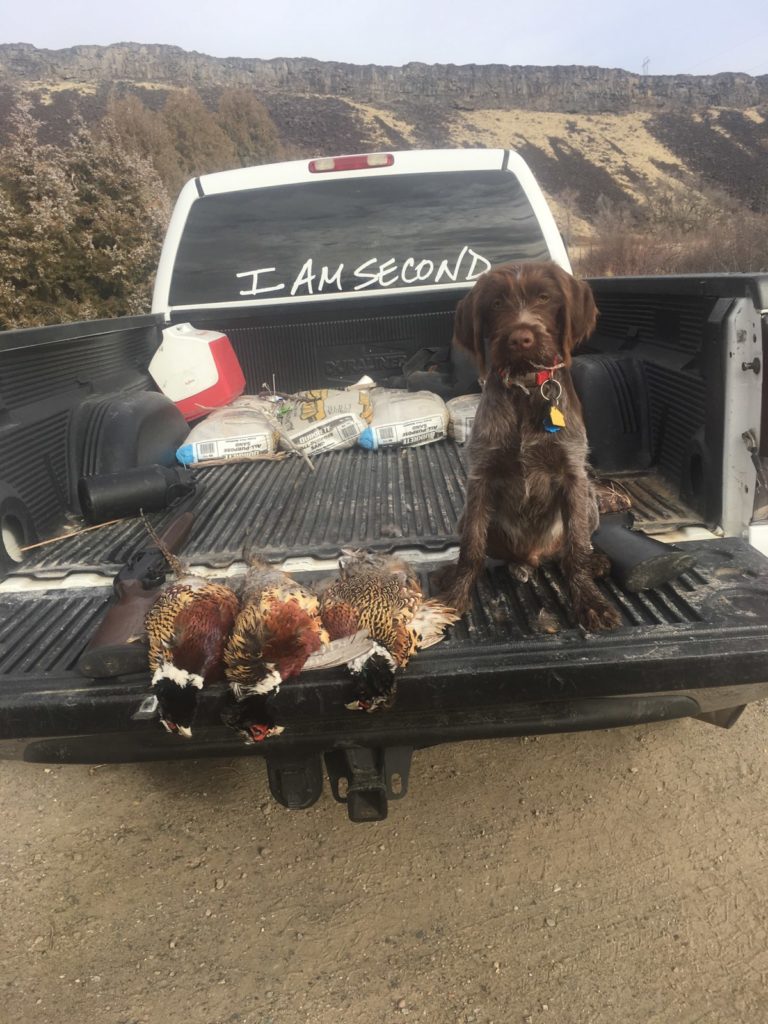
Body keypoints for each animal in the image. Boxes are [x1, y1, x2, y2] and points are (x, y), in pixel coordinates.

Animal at [442, 262, 622, 630]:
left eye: (544, 297)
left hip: (589, 502)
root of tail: (533, 555)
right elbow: (471, 550)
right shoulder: (481, 477)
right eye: (496, 303)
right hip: (469, 519)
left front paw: (590, 601)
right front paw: (456, 594)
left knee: (572, 549)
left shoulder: (573, 475)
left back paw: (594, 562)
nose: (520, 338)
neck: (526, 388)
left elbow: (576, 549)